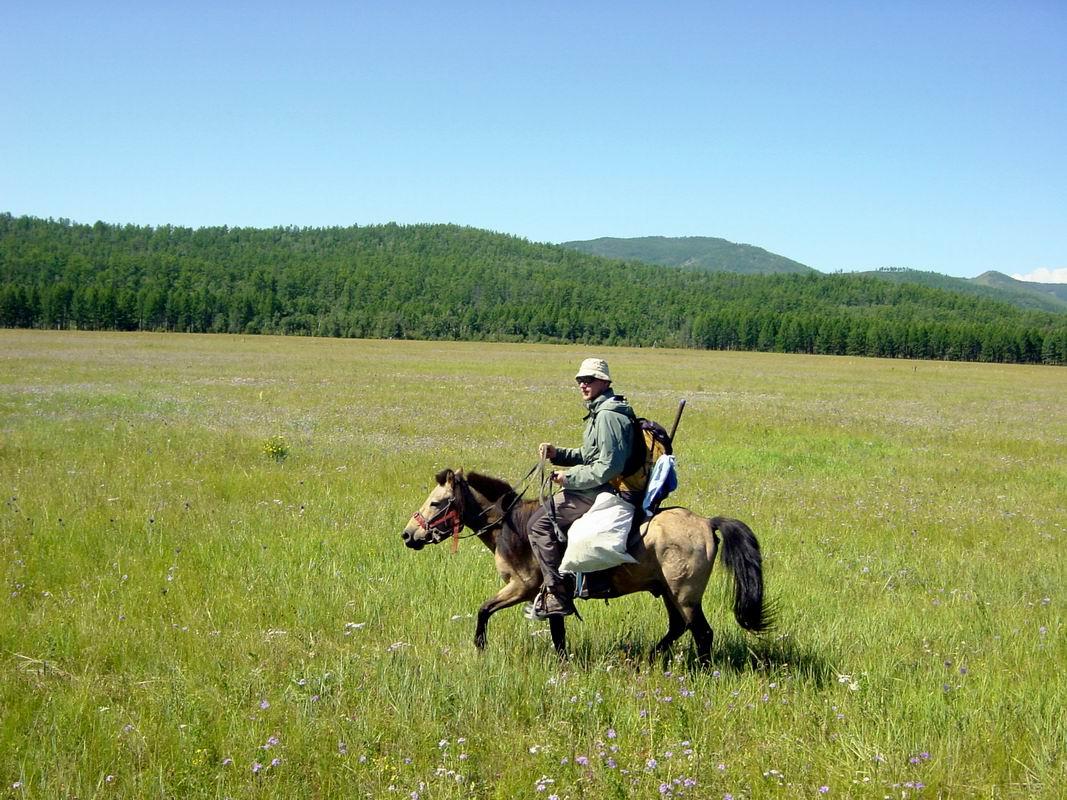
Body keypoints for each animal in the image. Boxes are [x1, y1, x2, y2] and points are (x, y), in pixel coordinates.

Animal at [399, 469, 768, 665]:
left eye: (436, 502)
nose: (408, 534)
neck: (512, 526)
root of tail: (706, 523)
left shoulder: (523, 587)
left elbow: (483, 609)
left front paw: (480, 647)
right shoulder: (549, 594)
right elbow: (557, 631)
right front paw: (563, 663)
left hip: (685, 594)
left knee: (701, 632)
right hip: (667, 591)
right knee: (678, 627)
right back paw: (646, 658)